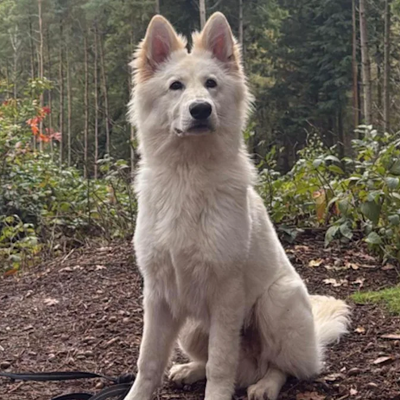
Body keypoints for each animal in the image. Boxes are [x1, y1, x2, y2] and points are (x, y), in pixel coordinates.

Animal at [124, 12, 350, 400]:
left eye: (211, 84)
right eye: (175, 86)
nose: (201, 109)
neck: (189, 175)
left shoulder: (226, 295)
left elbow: (220, 364)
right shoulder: (158, 296)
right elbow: (148, 360)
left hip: (276, 301)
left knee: (281, 367)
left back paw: (265, 385)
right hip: (192, 328)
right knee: (223, 365)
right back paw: (189, 370)